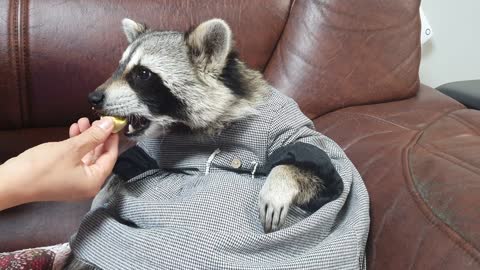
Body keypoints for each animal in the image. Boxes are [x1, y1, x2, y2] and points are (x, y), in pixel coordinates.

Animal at [65, 17, 332, 268]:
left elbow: (316, 155)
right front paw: (102, 193)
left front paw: (283, 176)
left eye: (143, 74)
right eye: (120, 67)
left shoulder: (280, 121)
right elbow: (131, 164)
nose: (93, 98)